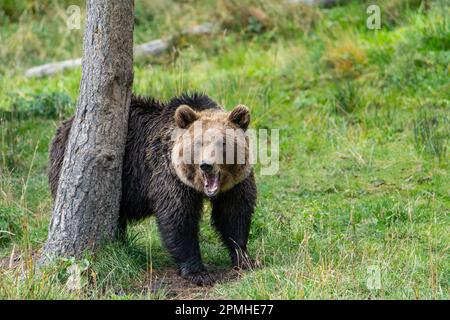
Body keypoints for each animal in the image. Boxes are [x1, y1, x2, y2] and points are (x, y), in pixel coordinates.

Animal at [48, 92, 258, 284]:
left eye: (223, 142)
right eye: (199, 143)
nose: (206, 165)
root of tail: (65, 125)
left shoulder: (236, 184)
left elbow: (234, 214)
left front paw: (244, 258)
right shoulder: (169, 174)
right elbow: (178, 218)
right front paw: (198, 272)